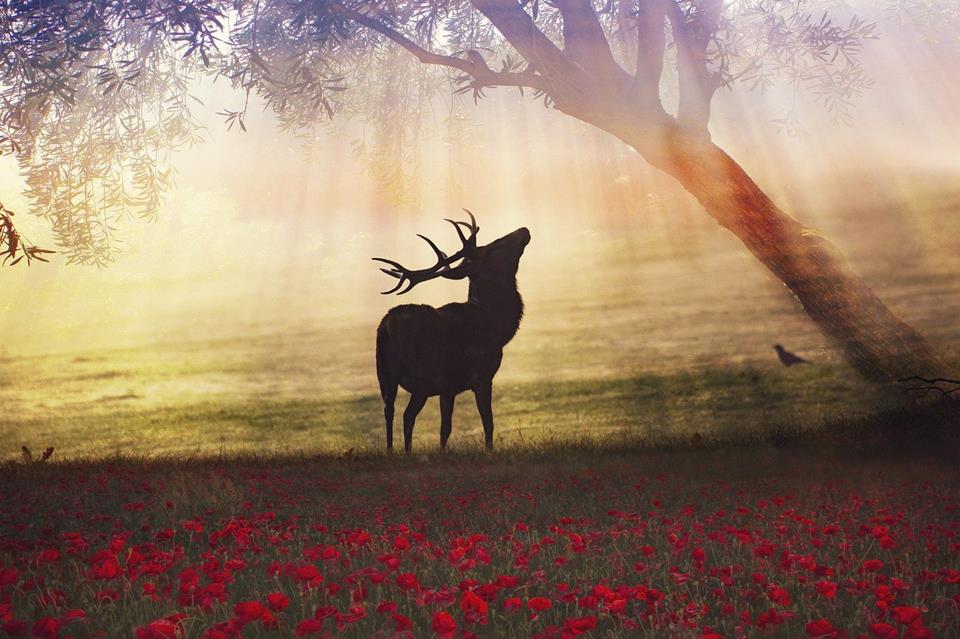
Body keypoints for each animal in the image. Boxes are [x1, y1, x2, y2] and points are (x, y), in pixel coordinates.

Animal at [373, 210, 530, 453]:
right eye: (491, 248)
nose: (523, 230)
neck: (497, 326)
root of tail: (386, 327)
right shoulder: (482, 375)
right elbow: (488, 421)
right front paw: (489, 451)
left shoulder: (447, 387)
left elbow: (444, 429)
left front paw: (442, 451)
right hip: (422, 376)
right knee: (407, 416)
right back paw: (407, 452)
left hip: (385, 374)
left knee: (388, 410)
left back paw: (391, 451)